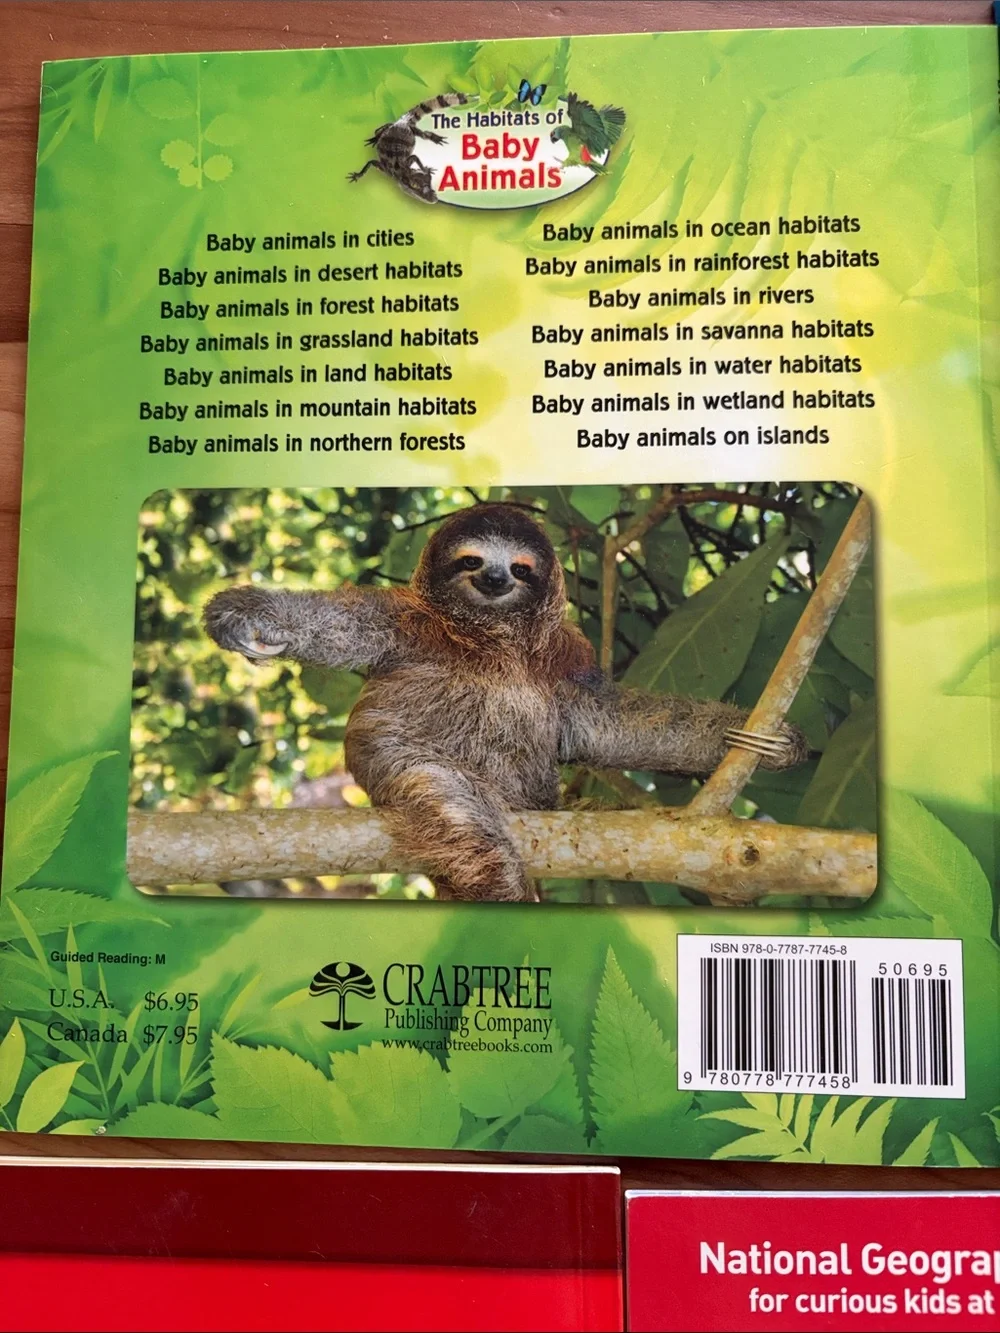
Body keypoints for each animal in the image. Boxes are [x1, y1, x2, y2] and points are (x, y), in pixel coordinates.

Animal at [203, 503, 808, 903]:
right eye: (472, 561)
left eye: (519, 568)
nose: (495, 578)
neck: (491, 636)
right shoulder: (403, 623)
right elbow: (338, 625)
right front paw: (249, 617)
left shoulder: (564, 658)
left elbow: (613, 723)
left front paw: (757, 738)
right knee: (464, 821)